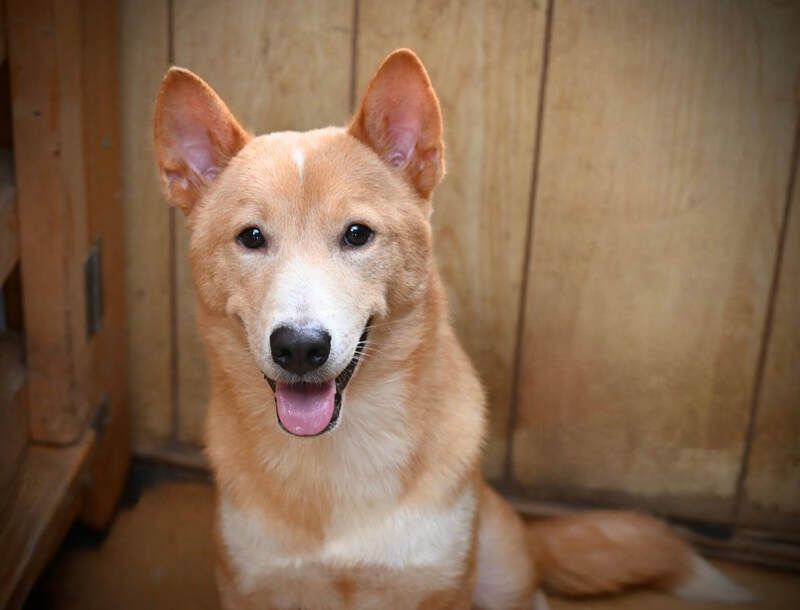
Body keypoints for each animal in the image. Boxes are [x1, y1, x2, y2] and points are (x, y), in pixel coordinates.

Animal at [152, 45, 752, 604]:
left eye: (357, 234)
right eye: (251, 237)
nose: (300, 348)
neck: (338, 455)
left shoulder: (439, 584)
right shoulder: (249, 583)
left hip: (500, 575)